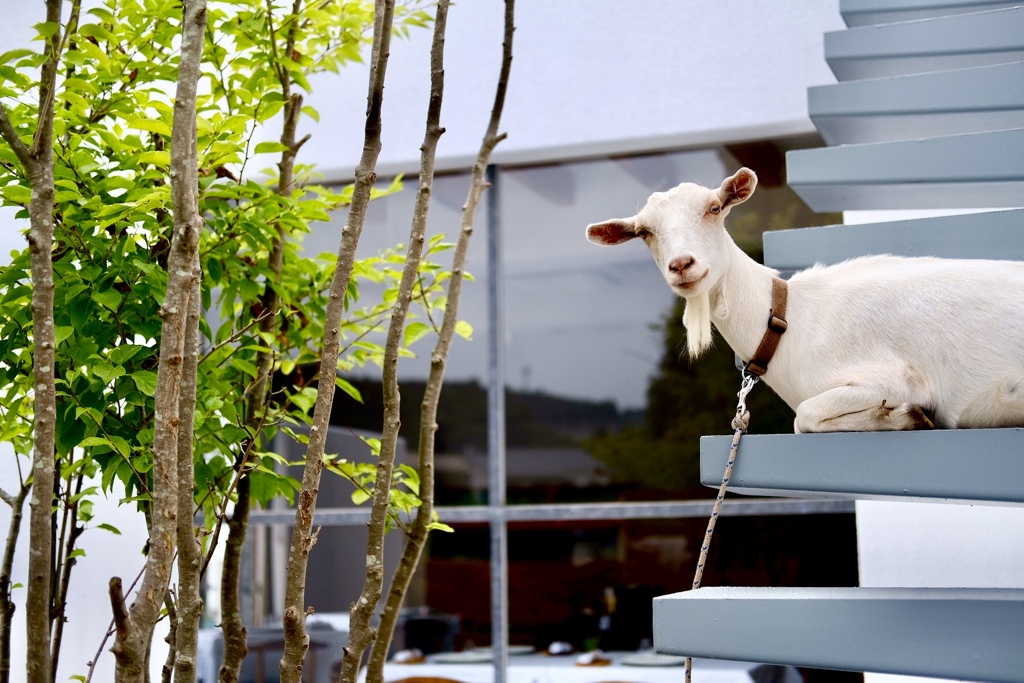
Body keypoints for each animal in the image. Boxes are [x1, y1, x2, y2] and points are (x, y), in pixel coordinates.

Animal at [585, 168, 1024, 433]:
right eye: (644, 231)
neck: (790, 320)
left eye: (714, 208)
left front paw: (907, 416)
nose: (682, 265)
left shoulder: (894, 378)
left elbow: (805, 416)